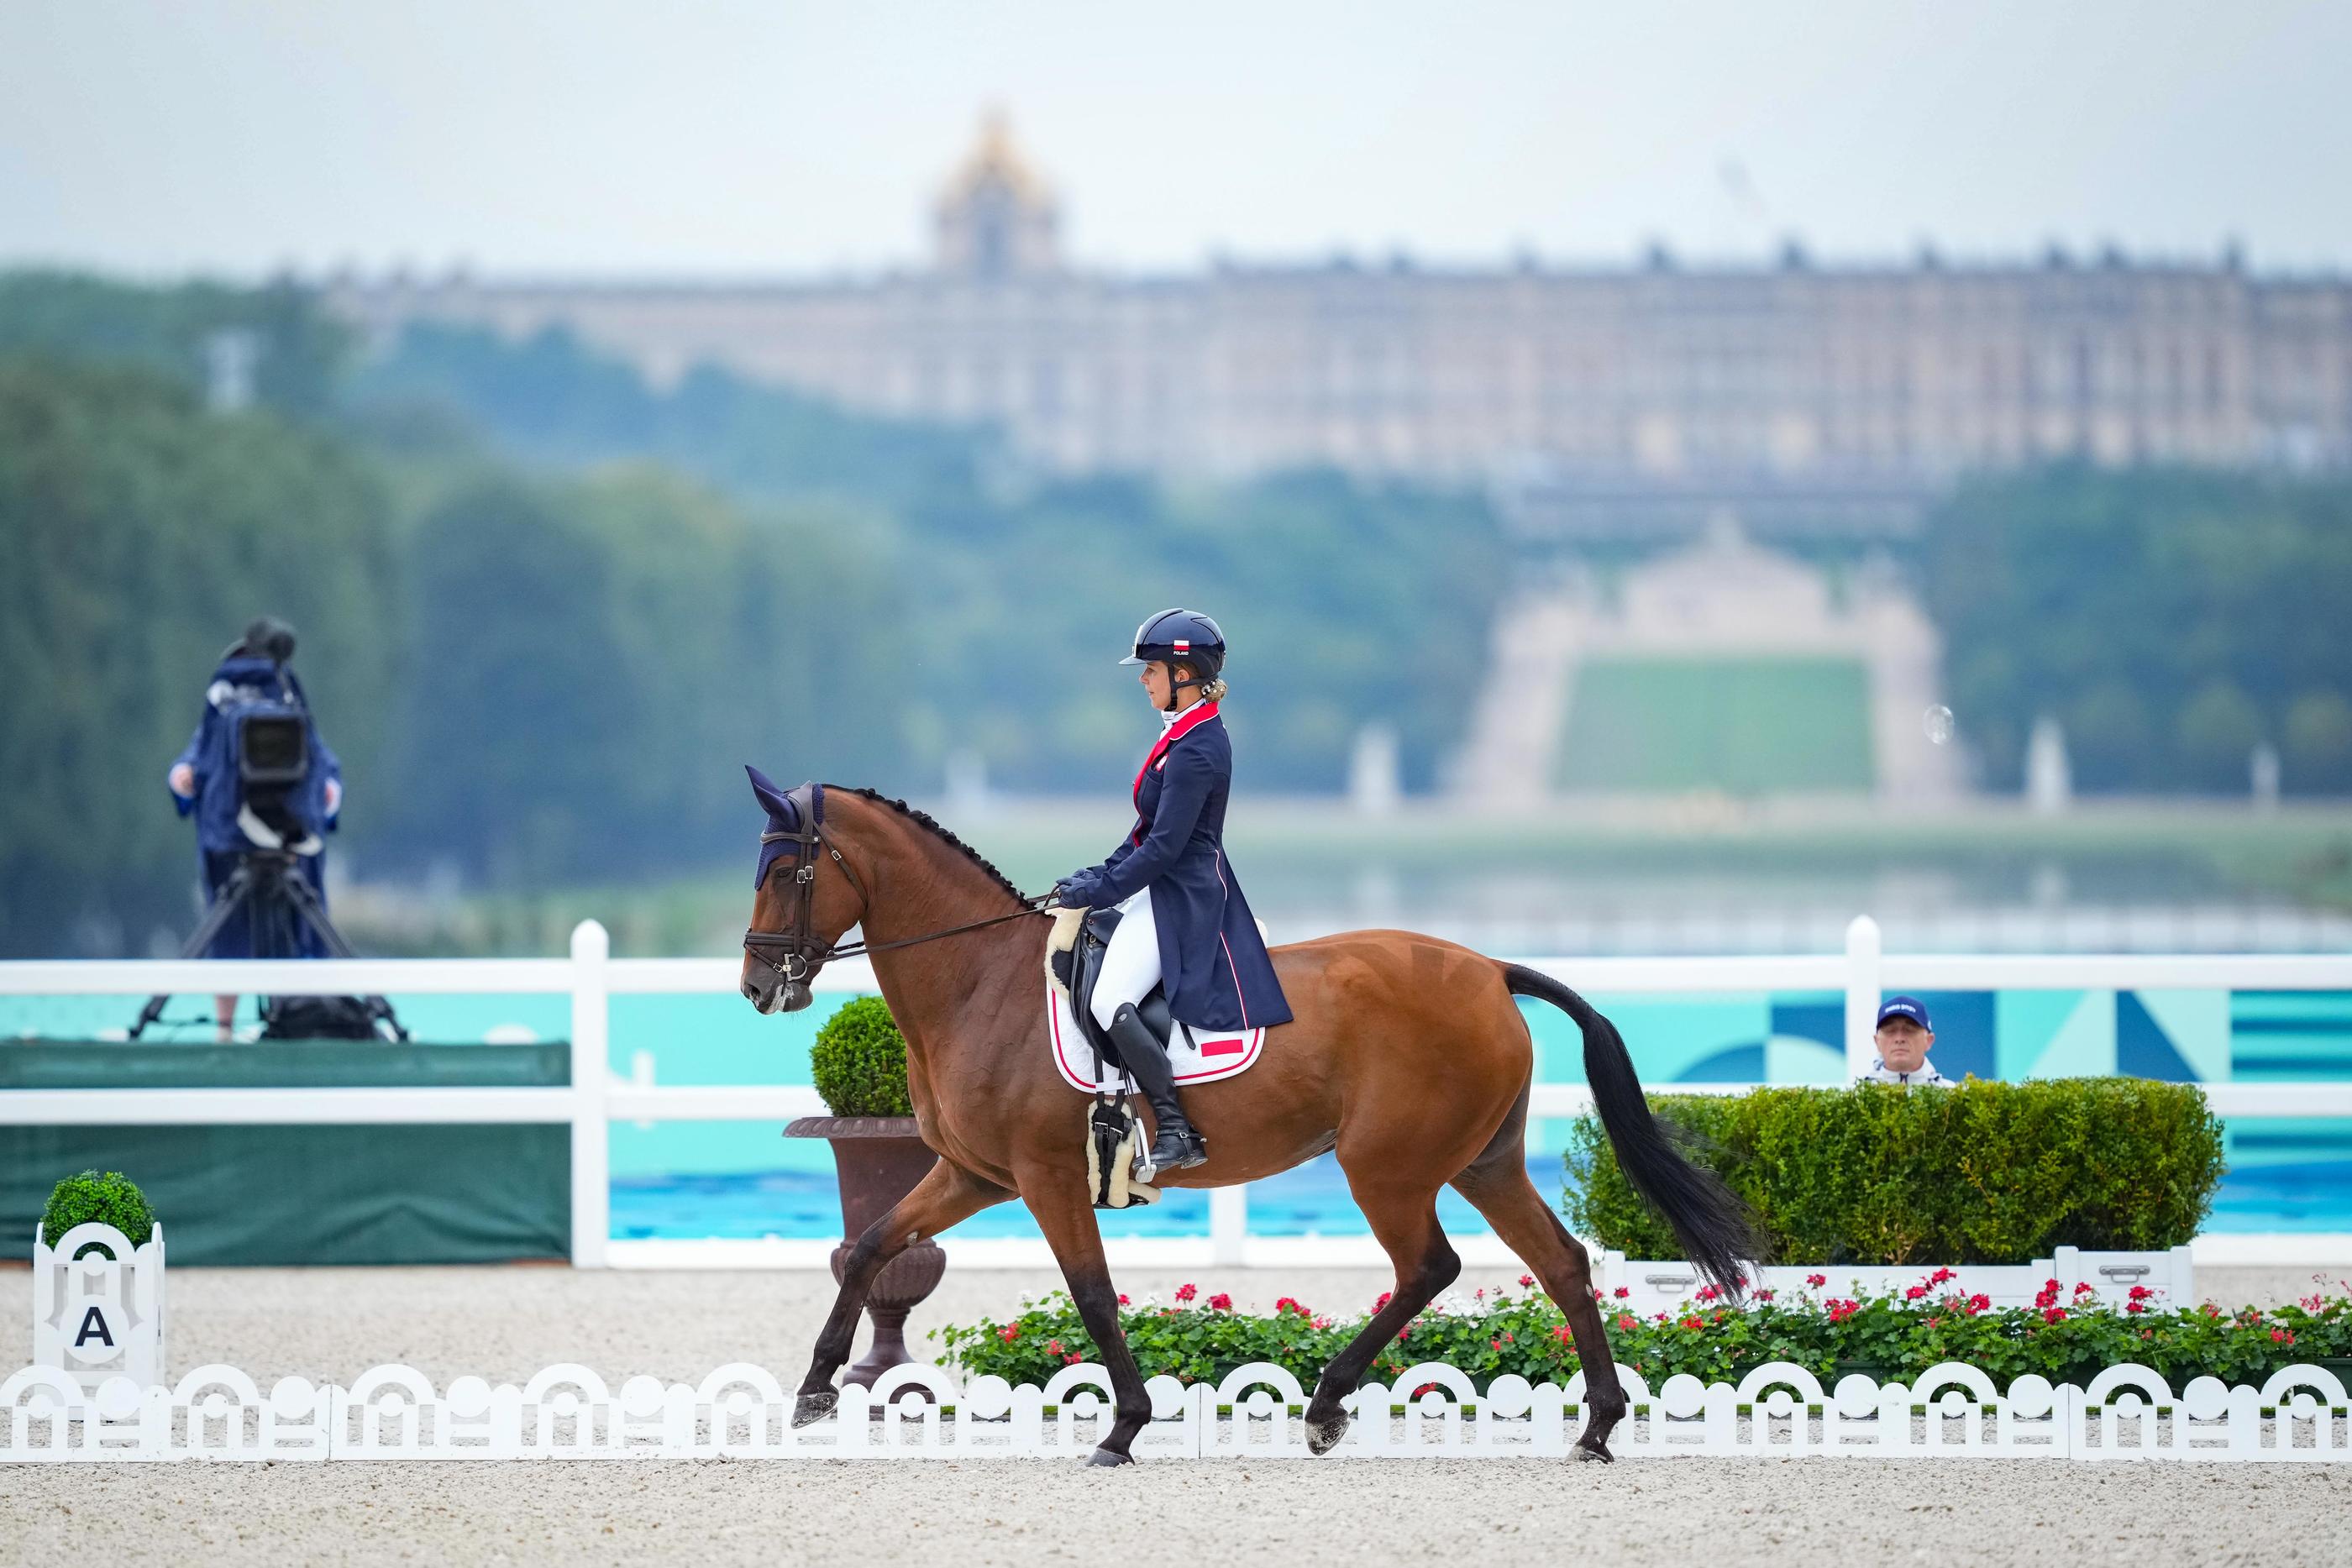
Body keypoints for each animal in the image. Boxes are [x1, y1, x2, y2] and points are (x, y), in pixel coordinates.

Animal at [743, 784, 1759, 1476]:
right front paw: (816, 1389)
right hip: (1484, 1162)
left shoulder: (1045, 1176)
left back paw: (1326, 1406)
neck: (979, 980)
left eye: (789, 871)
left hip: (1387, 1167)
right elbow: (871, 1245)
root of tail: (1487, 968)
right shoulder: (972, 1174)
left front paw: (1123, 1428)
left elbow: (1092, 1294)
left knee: (1428, 1267)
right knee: (1560, 1265)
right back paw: (1595, 1427)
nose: (757, 985)